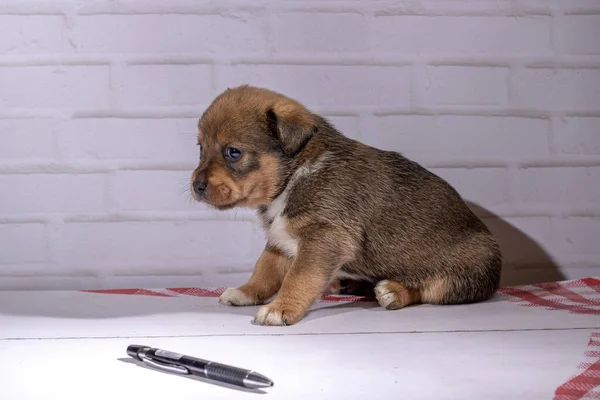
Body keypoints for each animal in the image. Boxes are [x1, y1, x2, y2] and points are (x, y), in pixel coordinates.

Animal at [191, 84, 502, 324]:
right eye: (201, 148)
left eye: (233, 152)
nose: (196, 186)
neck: (295, 175)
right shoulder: (280, 241)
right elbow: (264, 270)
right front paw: (245, 292)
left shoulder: (323, 238)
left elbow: (297, 277)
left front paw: (280, 308)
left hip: (465, 273)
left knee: (430, 290)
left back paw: (394, 291)